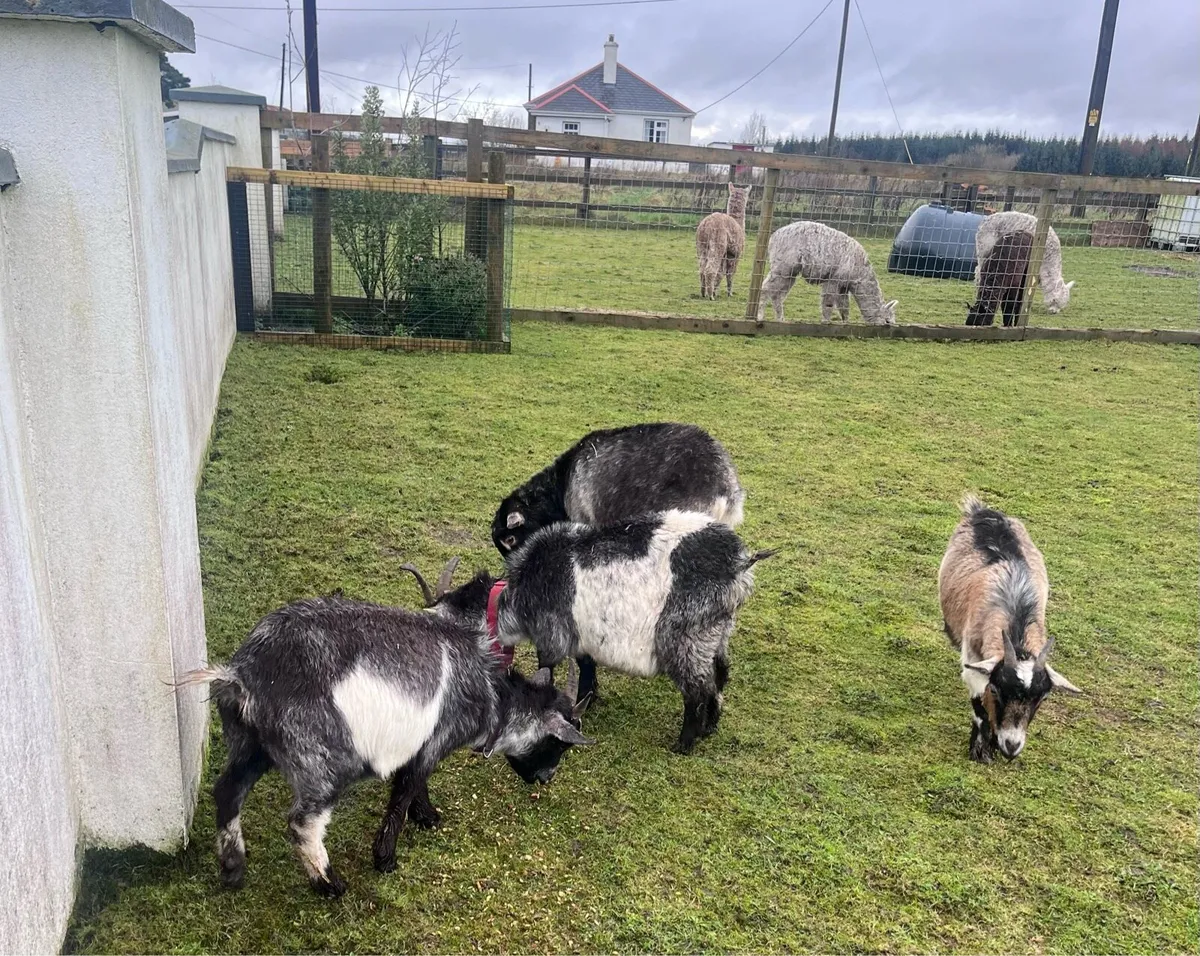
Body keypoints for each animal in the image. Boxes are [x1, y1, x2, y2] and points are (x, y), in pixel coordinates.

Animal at [181, 582, 592, 897]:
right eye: (559, 743)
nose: (546, 778)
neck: (491, 693)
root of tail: (242, 676)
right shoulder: (434, 741)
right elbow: (404, 793)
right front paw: (386, 857)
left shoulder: (419, 743)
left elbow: (413, 786)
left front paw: (426, 817)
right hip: (324, 763)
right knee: (302, 823)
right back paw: (328, 884)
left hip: (251, 745)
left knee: (228, 791)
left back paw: (233, 869)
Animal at [489, 509, 775, 755]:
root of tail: (739, 565)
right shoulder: (582, 637)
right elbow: (587, 666)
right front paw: (588, 700)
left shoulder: (552, 635)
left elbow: (548, 668)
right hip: (716, 634)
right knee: (719, 676)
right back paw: (710, 727)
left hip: (684, 638)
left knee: (697, 690)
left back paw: (684, 744)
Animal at [756, 221, 897, 324]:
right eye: (887, 321)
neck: (859, 274)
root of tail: (774, 236)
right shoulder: (833, 279)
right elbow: (828, 303)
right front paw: (826, 322)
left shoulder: (843, 285)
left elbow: (844, 306)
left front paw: (845, 323)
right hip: (783, 266)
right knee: (766, 288)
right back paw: (759, 317)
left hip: (790, 272)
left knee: (777, 295)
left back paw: (780, 319)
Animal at [938, 496, 1081, 763]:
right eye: (997, 690)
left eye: (1042, 698)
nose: (1012, 746)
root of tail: (984, 511)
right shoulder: (973, 655)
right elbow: (979, 703)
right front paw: (980, 750)